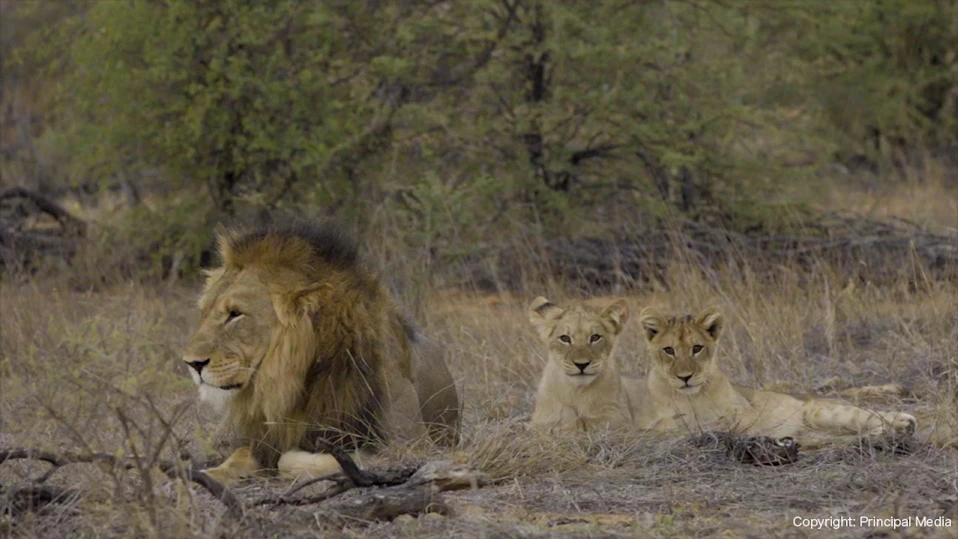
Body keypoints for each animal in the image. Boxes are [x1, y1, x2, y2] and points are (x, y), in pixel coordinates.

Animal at [185, 221, 464, 484]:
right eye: (204, 311)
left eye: (235, 314)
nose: (191, 363)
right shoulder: (264, 438)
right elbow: (238, 456)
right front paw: (206, 474)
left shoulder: (410, 446)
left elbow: (290, 458)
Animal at [636, 308, 916, 448]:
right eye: (668, 350)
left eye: (697, 348)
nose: (685, 377)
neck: (691, 398)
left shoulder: (745, 411)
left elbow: (729, 422)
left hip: (825, 412)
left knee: (870, 416)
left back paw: (903, 424)